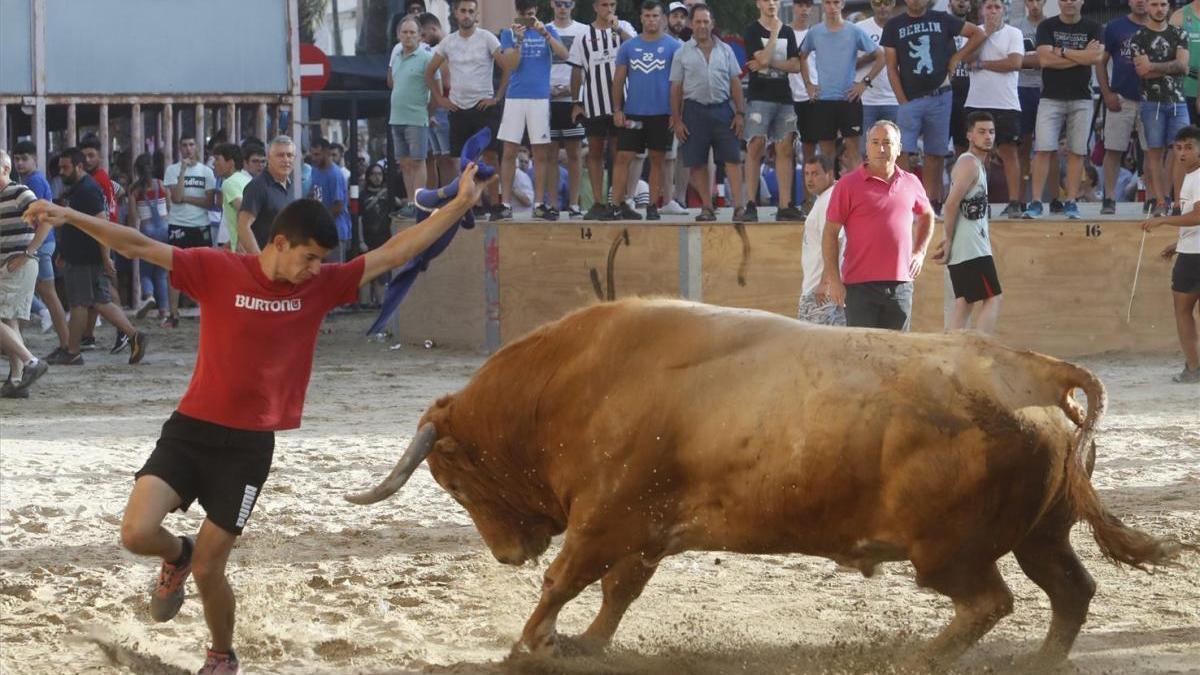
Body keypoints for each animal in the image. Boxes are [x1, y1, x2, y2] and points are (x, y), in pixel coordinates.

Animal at [348, 297, 1180, 662]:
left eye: (455, 480)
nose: (506, 552)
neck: (573, 380)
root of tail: (1032, 370)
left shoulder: (603, 520)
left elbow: (565, 580)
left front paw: (529, 643)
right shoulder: (643, 531)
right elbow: (618, 592)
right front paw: (583, 641)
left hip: (946, 551)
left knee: (989, 601)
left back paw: (917, 659)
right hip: (1042, 534)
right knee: (1070, 591)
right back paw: (1039, 661)